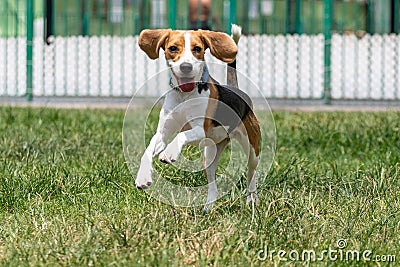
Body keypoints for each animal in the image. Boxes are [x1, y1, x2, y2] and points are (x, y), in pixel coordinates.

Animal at [135, 24, 260, 210]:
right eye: (173, 48)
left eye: (197, 49)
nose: (186, 67)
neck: (185, 95)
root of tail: (237, 90)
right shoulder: (162, 134)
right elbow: (148, 150)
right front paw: (143, 177)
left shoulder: (201, 130)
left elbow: (181, 135)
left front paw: (169, 153)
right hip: (209, 155)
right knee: (213, 186)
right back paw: (208, 209)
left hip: (252, 148)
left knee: (252, 175)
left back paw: (252, 200)